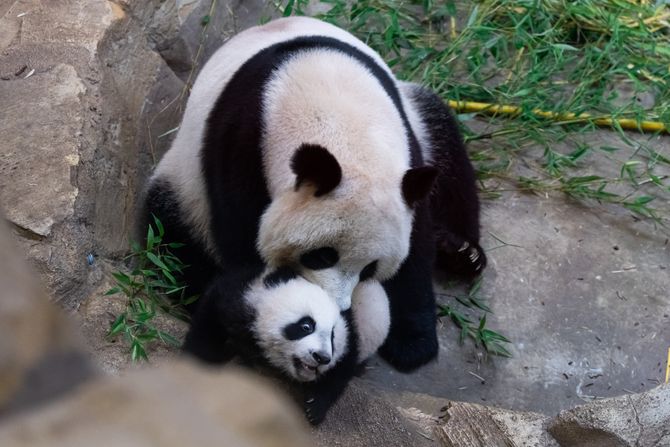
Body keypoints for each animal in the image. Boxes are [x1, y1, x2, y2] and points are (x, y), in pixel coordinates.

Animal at [143, 16, 484, 373]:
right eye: (321, 256)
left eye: (370, 269)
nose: (339, 307)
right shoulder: (241, 143)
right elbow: (242, 242)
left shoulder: (405, 157)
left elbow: (415, 248)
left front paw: (412, 343)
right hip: (184, 185)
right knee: (170, 237)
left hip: (419, 113)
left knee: (447, 151)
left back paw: (462, 252)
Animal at [182, 265, 390, 425]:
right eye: (306, 326)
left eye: (332, 336)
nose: (321, 357)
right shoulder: (243, 295)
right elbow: (212, 316)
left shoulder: (351, 333)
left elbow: (340, 371)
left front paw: (314, 407)